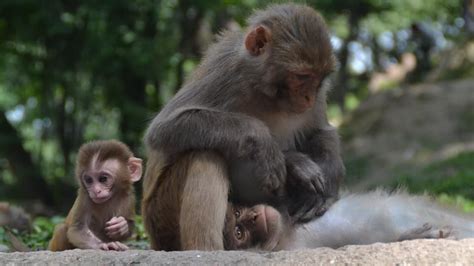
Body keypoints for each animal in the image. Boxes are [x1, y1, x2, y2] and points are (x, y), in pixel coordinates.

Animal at [143, 3, 342, 250]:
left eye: (318, 78)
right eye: (301, 75)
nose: (309, 97)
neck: (268, 94)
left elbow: (319, 132)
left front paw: (323, 189)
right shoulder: (225, 71)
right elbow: (163, 129)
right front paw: (272, 148)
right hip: (161, 216)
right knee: (204, 155)